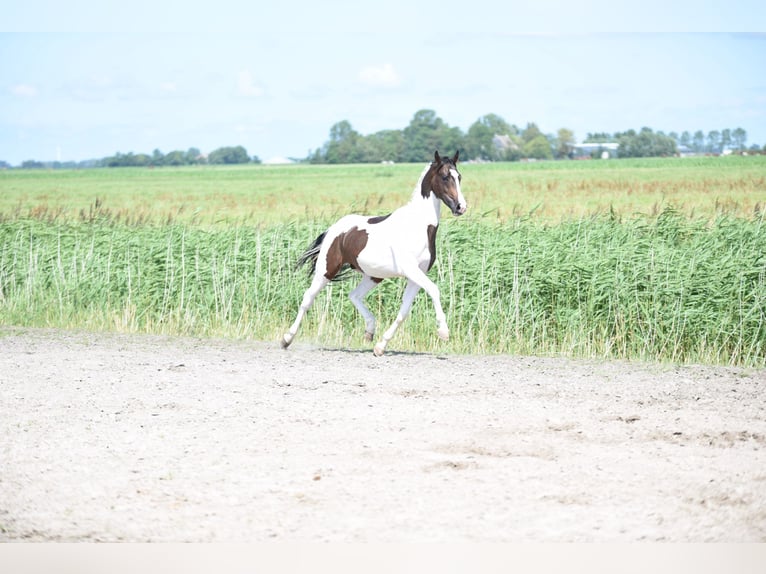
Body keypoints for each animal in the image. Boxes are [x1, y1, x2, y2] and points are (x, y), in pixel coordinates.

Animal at [282, 150, 468, 356]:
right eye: (444, 177)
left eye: (459, 177)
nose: (460, 207)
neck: (417, 226)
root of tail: (334, 229)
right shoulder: (411, 270)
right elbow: (434, 290)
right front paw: (444, 332)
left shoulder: (416, 275)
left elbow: (404, 311)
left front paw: (380, 347)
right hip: (326, 270)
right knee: (308, 298)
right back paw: (286, 339)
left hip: (373, 276)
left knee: (354, 295)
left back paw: (370, 331)